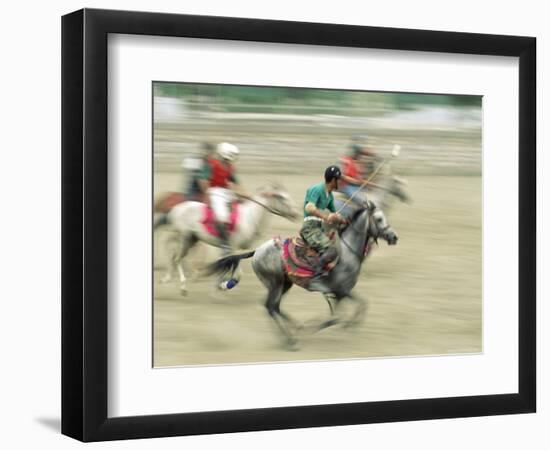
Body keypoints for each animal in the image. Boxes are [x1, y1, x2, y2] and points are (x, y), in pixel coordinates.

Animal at [155, 183, 302, 296]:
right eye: (281, 197)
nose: (296, 214)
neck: (249, 217)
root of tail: (175, 208)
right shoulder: (231, 248)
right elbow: (237, 273)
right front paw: (223, 285)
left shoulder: (234, 250)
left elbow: (224, 266)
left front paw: (219, 285)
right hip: (185, 237)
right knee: (176, 257)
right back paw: (182, 286)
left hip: (192, 239)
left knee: (175, 256)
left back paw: (170, 279)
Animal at [205, 202, 398, 350]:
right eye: (379, 218)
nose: (394, 237)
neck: (347, 253)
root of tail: (257, 251)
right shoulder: (341, 290)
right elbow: (339, 316)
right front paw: (316, 326)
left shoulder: (341, 293)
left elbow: (357, 307)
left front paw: (348, 325)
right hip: (275, 282)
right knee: (270, 307)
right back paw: (291, 340)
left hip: (285, 284)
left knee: (274, 307)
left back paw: (294, 329)